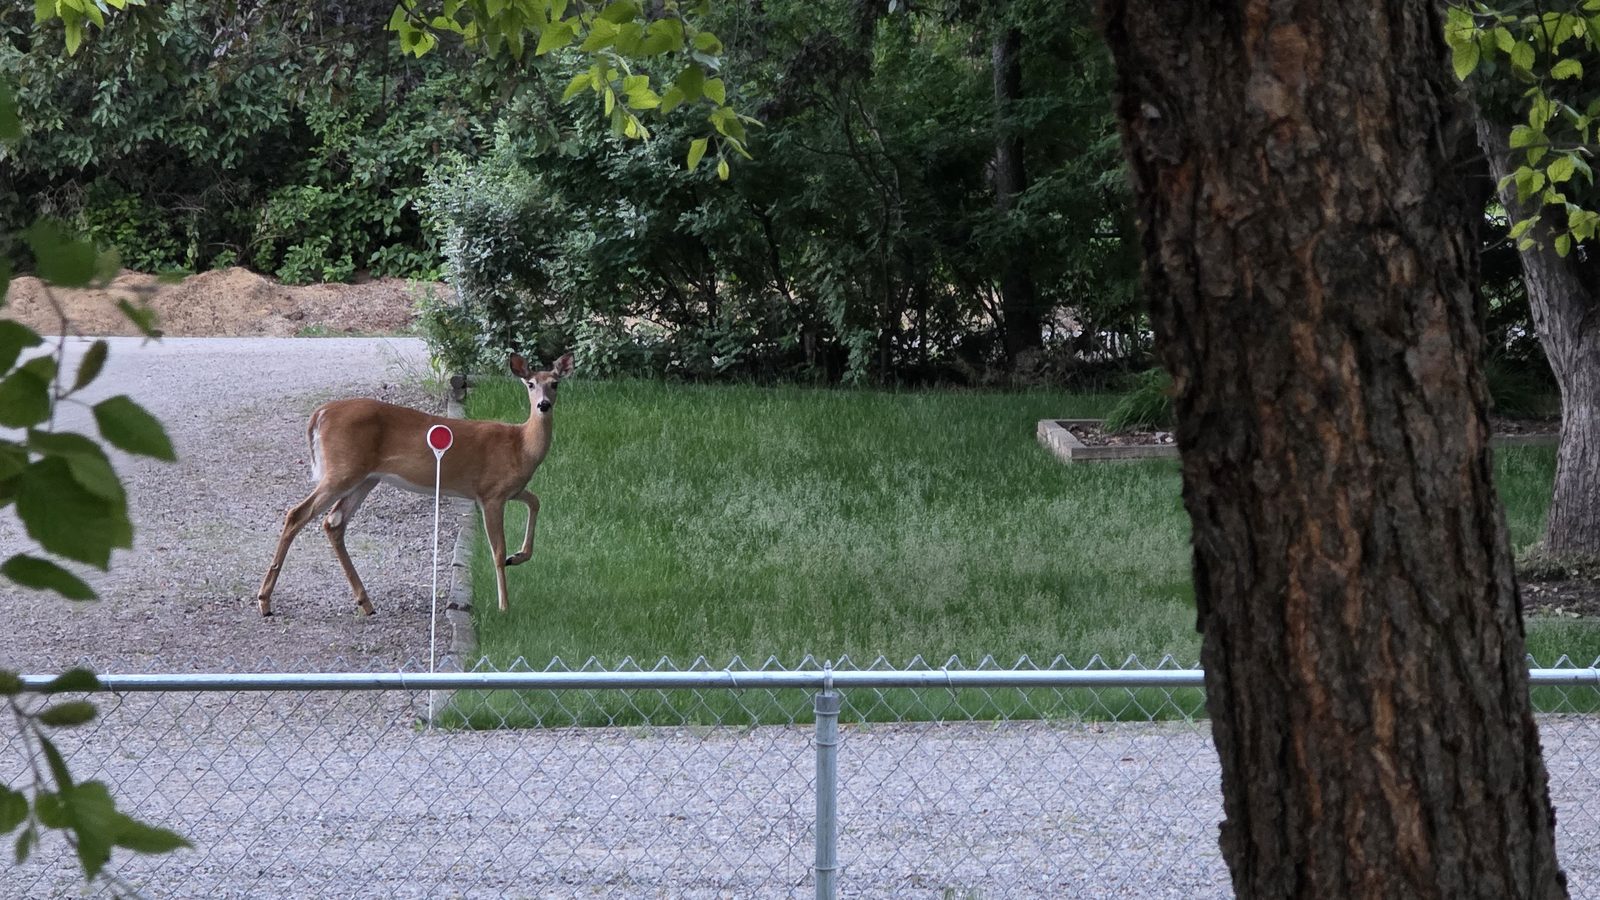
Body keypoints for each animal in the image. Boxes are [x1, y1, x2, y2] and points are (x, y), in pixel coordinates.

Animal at [255, 352, 575, 617]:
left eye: (555, 383)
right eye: (530, 384)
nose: (543, 405)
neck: (521, 446)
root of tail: (319, 413)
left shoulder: (511, 490)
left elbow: (536, 501)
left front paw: (518, 557)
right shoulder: (490, 493)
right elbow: (496, 549)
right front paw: (504, 605)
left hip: (365, 477)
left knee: (333, 522)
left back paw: (365, 603)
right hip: (341, 470)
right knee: (297, 514)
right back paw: (265, 600)